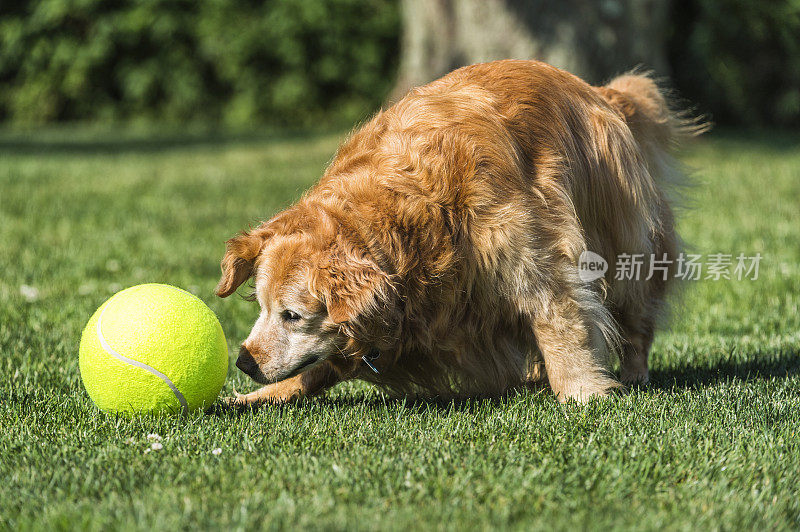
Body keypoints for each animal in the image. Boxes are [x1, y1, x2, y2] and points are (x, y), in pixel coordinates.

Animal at [216, 60, 704, 404]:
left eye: (292, 315)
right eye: (261, 306)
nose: (242, 361)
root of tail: (601, 93)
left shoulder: (535, 255)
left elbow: (559, 321)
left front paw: (582, 393)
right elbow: (323, 365)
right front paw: (255, 398)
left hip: (627, 246)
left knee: (636, 316)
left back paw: (632, 373)